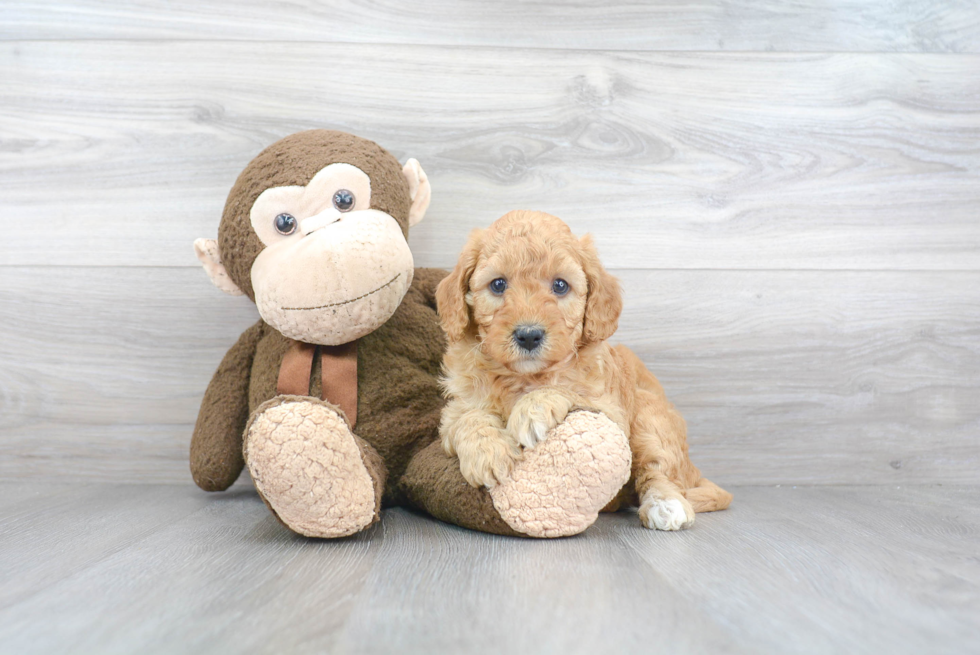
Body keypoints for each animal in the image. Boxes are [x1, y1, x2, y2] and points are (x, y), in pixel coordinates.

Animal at [432, 213, 732, 532]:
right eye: (498, 284)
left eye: (560, 286)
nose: (529, 335)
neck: (524, 377)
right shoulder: (454, 411)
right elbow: (468, 418)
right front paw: (488, 453)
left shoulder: (609, 407)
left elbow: (565, 388)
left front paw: (531, 410)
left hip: (650, 416)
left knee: (657, 469)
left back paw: (666, 504)